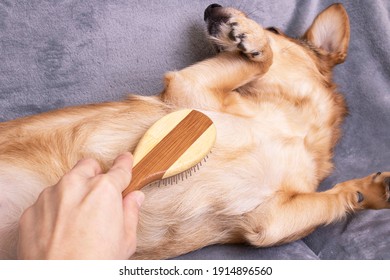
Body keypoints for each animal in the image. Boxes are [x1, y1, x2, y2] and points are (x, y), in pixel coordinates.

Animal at [0, 2, 390, 260]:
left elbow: (332, 199)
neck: (293, 126)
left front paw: (369, 190)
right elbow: (264, 61)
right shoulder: (191, 89)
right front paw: (251, 38)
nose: (211, 7)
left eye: (277, 29)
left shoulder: (271, 221)